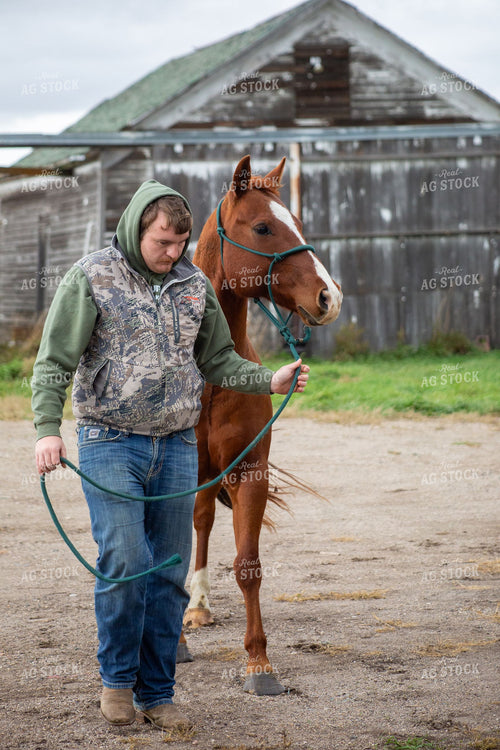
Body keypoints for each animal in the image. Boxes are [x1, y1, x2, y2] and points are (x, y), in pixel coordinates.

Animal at [180, 154, 342, 695]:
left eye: (299, 222)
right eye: (263, 227)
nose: (329, 296)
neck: (211, 377)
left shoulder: (249, 471)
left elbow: (247, 565)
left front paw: (259, 663)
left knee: (204, 521)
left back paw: (198, 605)